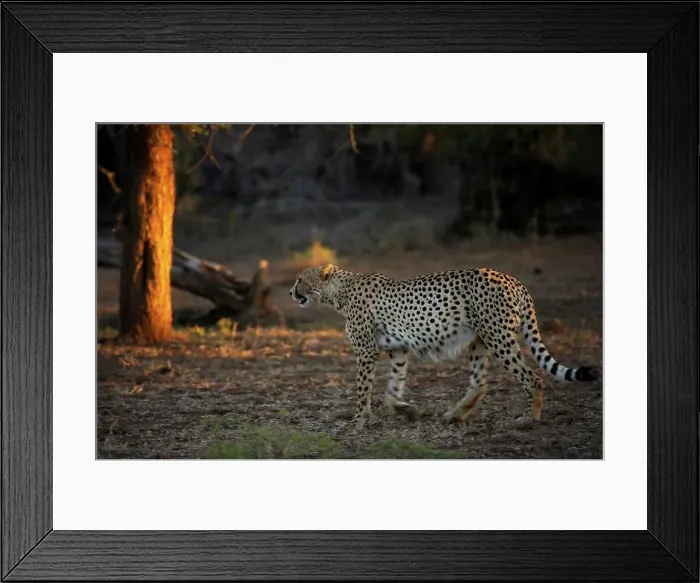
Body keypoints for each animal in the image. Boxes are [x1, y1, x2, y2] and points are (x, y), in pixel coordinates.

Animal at [289, 263, 600, 430]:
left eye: (300, 279)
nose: (291, 292)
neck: (338, 291)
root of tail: (512, 278)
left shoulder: (366, 352)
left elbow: (363, 390)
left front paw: (358, 421)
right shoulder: (398, 349)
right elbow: (392, 388)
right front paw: (405, 410)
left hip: (499, 338)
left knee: (532, 378)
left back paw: (530, 418)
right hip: (479, 341)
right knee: (479, 383)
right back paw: (454, 415)